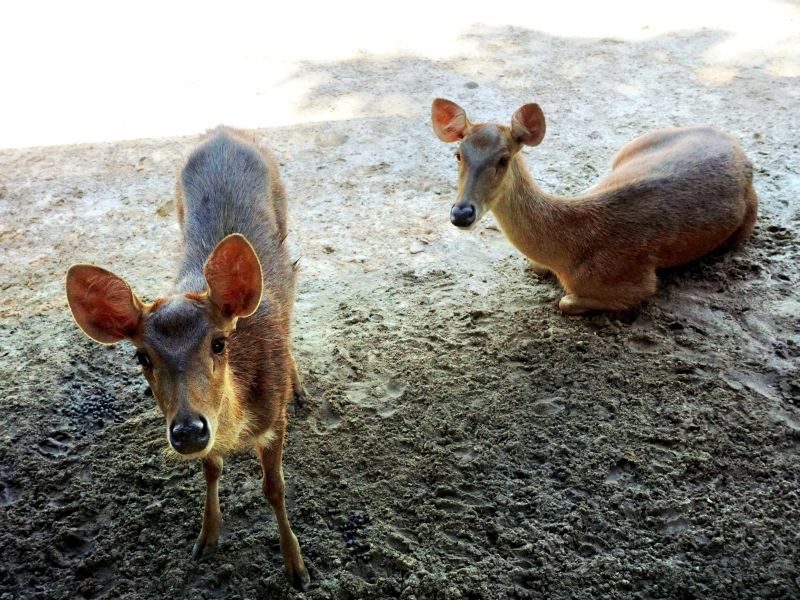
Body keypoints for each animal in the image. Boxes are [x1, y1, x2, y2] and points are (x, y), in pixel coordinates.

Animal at [66, 126, 310, 592]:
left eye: (219, 343)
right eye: (141, 357)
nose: (189, 431)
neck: (236, 429)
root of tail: (224, 131)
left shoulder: (275, 418)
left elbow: (275, 488)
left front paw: (297, 567)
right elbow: (211, 470)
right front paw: (206, 537)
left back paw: (301, 387)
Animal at [432, 98, 756, 314]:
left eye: (503, 158)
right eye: (458, 154)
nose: (461, 213)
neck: (565, 254)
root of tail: (733, 143)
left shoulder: (636, 281)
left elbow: (565, 301)